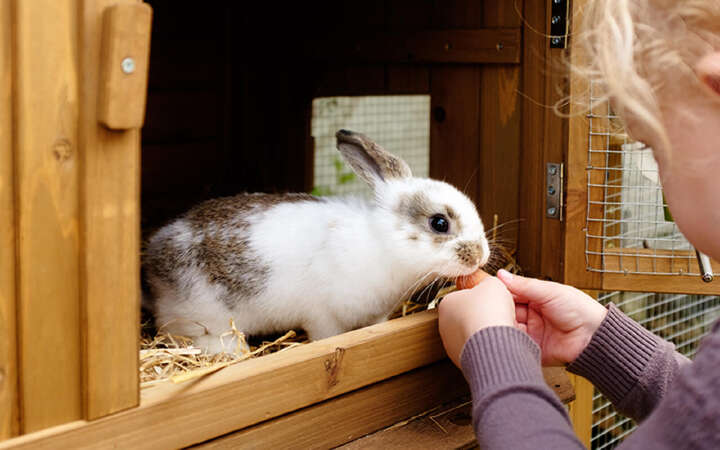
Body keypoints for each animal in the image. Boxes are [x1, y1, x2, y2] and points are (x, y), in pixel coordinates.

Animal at [143, 129, 491, 354]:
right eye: (439, 223)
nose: (480, 255)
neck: (382, 242)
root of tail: (153, 258)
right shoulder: (323, 315)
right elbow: (325, 337)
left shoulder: (376, 315)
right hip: (203, 317)